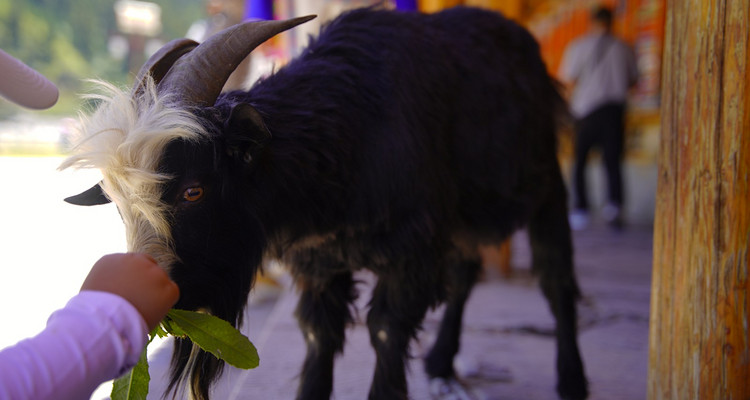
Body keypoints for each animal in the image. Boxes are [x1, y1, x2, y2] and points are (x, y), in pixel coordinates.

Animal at [63, 6, 588, 400]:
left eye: (193, 190)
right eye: (118, 206)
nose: (157, 298)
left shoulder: (412, 252)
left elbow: (385, 329)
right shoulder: (318, 264)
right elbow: (319, 335)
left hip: (545, 180)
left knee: (555, 277)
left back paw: (572, 380)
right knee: (465, 271)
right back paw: (441, 363)